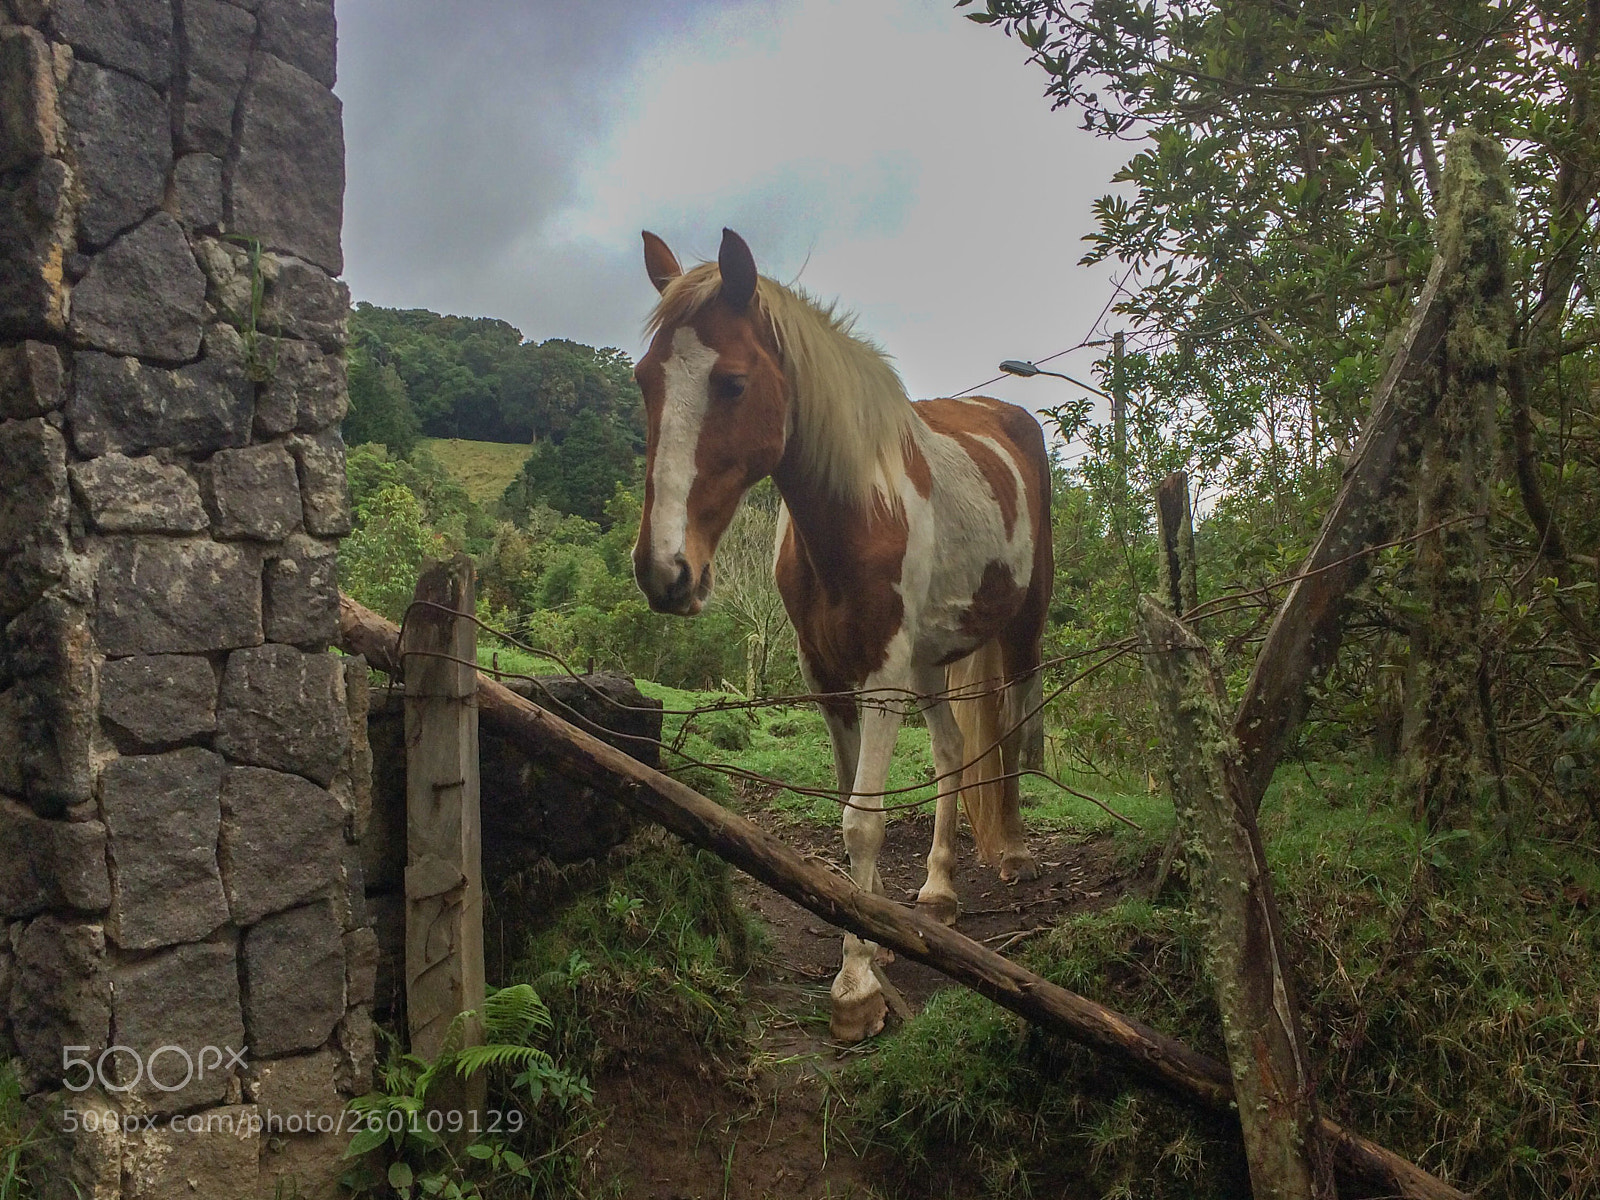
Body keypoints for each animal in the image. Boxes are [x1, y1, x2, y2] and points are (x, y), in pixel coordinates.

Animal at [630, 228, 1053, 1041]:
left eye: (732, 383)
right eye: (645, 380)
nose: (664, 570)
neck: (858, 511)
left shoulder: (881, 675)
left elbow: (863, 821)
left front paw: (855, 987)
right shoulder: (828, 678)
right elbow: (846, 803)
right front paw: (874, 939)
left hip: (1022, 625)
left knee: (1014, 724)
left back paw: (1014, 852)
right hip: (931, 660)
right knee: (953, 751)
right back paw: (938, 891)